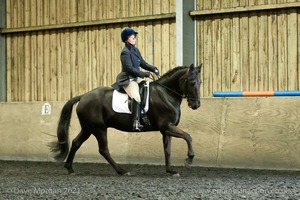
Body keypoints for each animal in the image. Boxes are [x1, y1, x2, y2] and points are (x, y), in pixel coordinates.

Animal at [50, 63, 203, 175]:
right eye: (191, 82)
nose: (196, 105)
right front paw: (189, 160)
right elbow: (188, 137)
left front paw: (170, 170)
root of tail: (83, 96)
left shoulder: (167, 129)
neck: (166, 94)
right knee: (103, 150)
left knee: (76, 143)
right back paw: (122, 171)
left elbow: (168, 149)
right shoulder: (167, 126)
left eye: (200, 82)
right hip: (99, 128)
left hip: (88, 128)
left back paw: (69, 168)